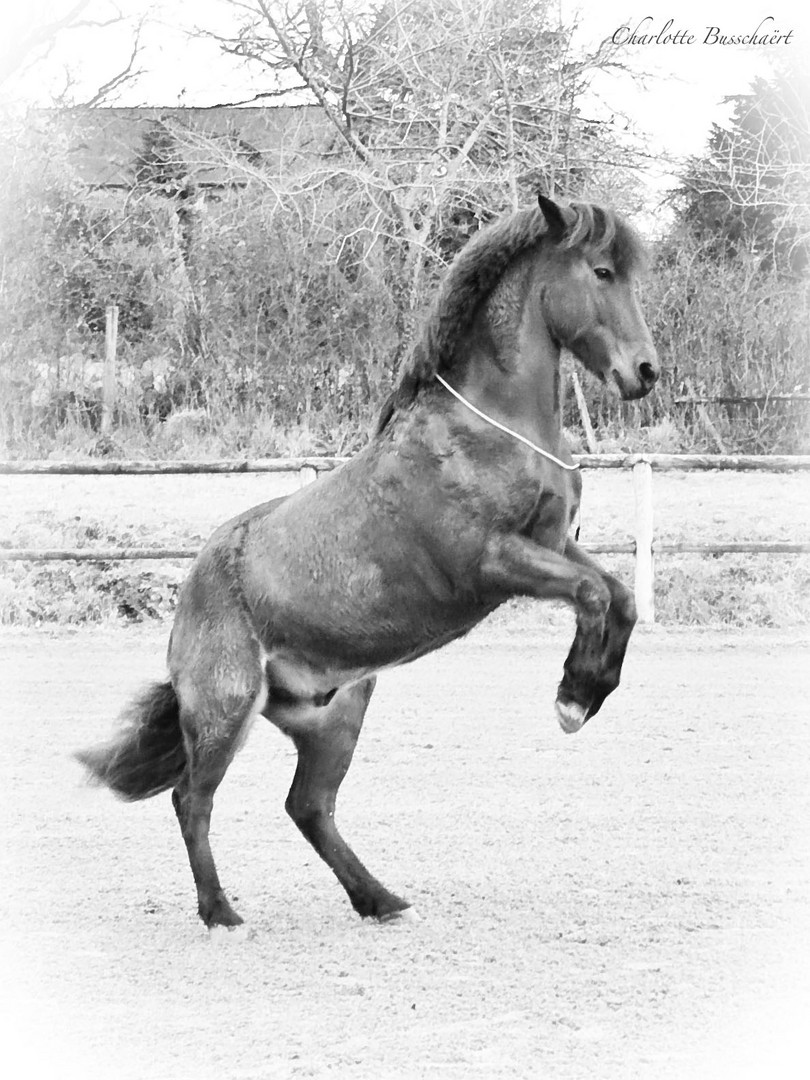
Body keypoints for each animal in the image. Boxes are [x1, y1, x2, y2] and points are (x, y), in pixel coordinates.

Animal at [74, 194, 660, 928]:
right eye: (602, 271)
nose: (646, 373)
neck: (488, 430)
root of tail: (198, 583)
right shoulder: (493, 563)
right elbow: (593, 594)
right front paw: (572, 697)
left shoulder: (555, 544)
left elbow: (621, 597)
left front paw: (588, 690)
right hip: (225, 710)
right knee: (192, 800)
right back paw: (221, 914)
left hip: (335, 715)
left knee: (308, 807)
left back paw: (379, 899)